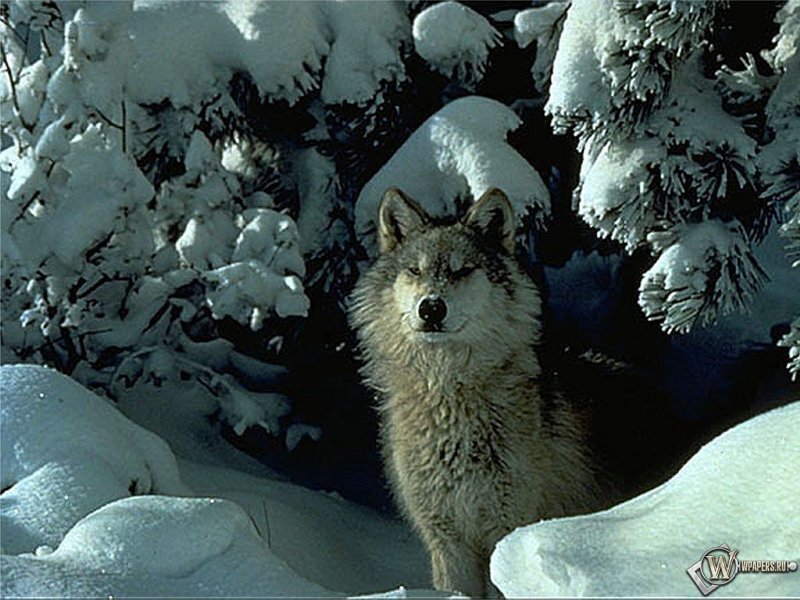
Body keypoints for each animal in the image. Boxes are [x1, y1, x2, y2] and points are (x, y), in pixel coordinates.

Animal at [349, 187, 599, 597]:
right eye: (415, 271)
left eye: (461, 270)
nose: (431, 308)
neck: (448, 395)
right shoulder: (447, 540)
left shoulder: (506, 531)